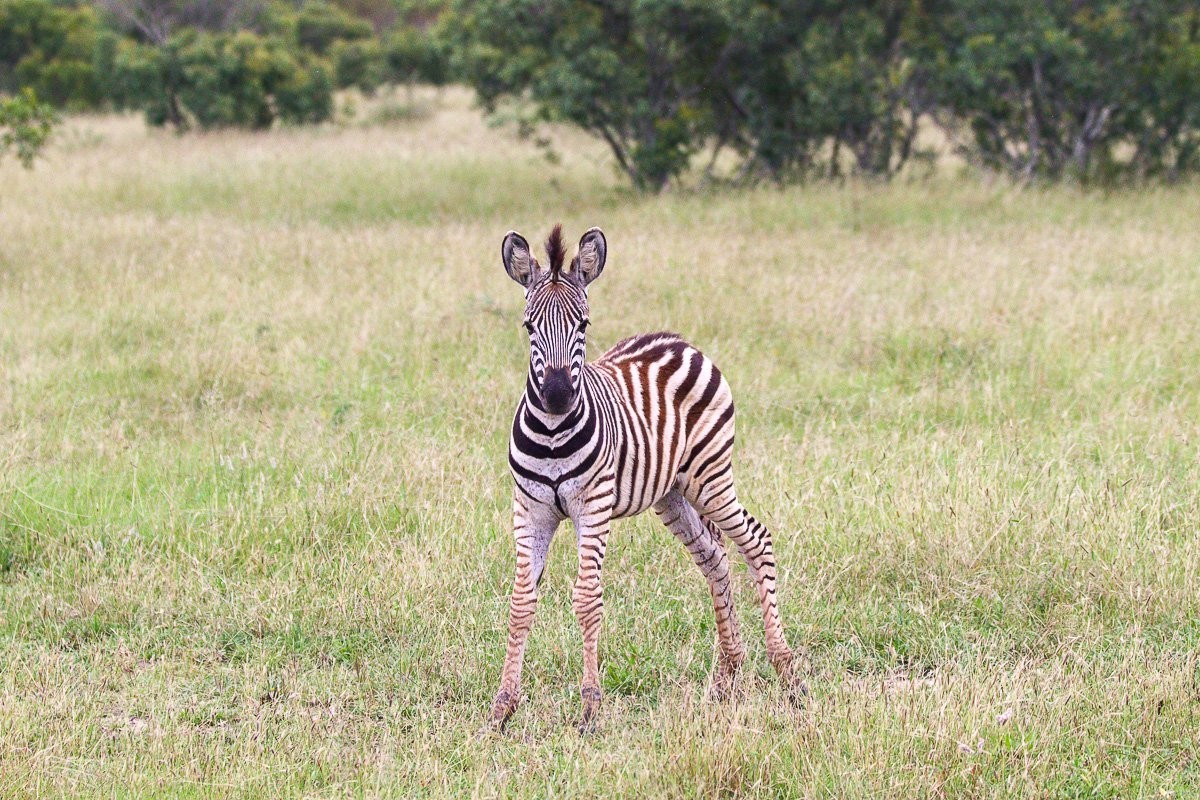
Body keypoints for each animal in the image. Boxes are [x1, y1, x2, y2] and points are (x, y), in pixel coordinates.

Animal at [489, 224, 802, 732]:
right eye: (529, 327)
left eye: (583, 326)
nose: (556, 396)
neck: (553, 434)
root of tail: (679, 341)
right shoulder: (530, 510)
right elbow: (520, 602)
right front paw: (502, 708)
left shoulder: (593, 507)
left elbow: (587, 599)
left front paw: (590, 709)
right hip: (672, 494)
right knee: (715, 558)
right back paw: (726, 678)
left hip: (709, 476)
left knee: (756, 541)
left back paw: (789, 676)